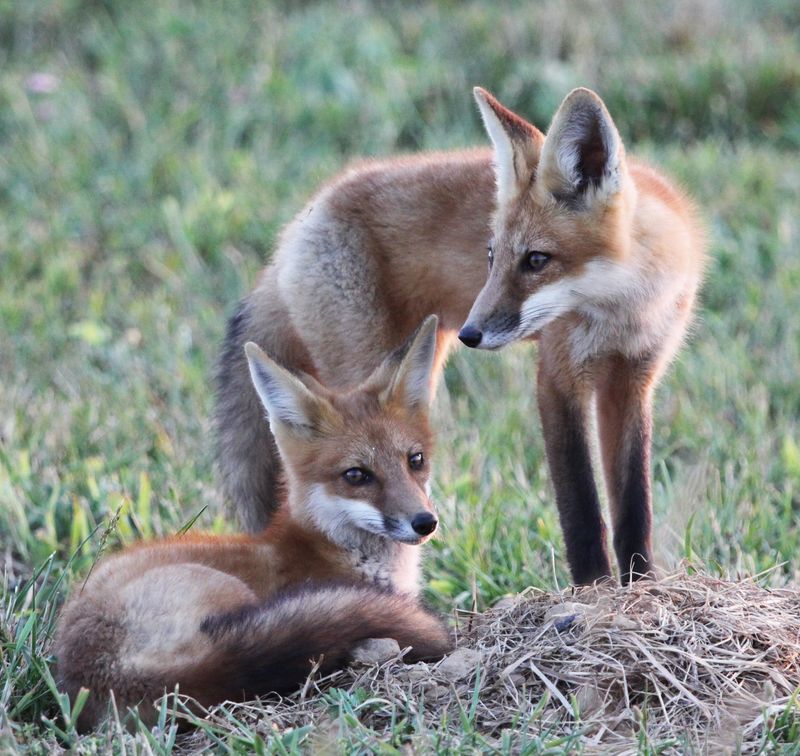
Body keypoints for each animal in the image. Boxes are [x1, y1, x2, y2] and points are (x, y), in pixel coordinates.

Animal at [215, 86, 705, 586]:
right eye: (491, 256)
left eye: (536, 260)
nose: (472, 333)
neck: (623, 310)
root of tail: (296, 226)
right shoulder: (558, 378)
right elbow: (581, 508)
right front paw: (594, 588)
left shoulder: (633, 380)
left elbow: (633, 504)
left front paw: (640, 583)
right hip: (365, 376)